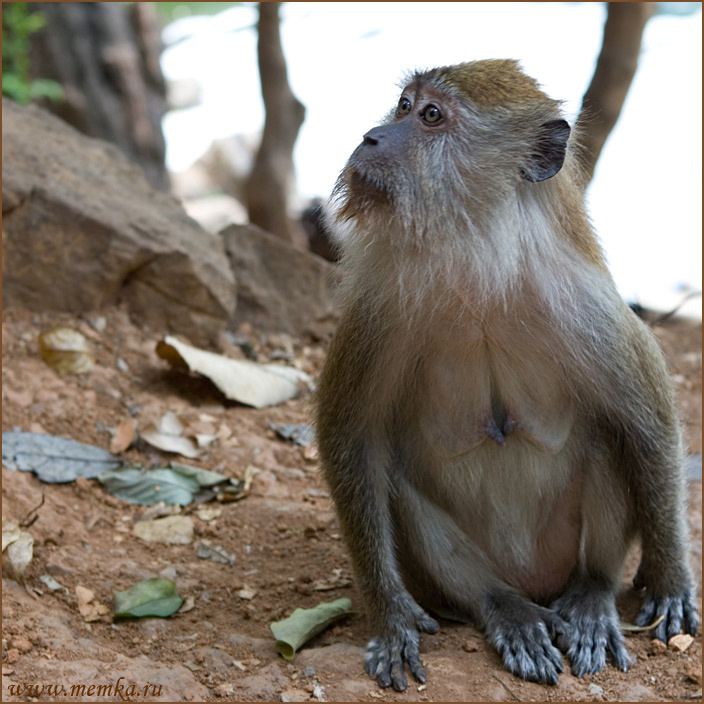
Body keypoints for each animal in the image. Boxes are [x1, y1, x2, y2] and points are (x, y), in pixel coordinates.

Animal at [314, 59, 699, 691]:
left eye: (431, 116)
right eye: (403, 105)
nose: (372, 137)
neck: (478, 260)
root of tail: (535, 582)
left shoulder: (585, 303)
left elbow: (648, 426)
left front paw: (670, 581)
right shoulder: (380, 301)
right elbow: (352, 439)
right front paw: (391, 614)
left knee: (608, 442)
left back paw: (592, 594)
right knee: (399, 483)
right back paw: (504, 608)